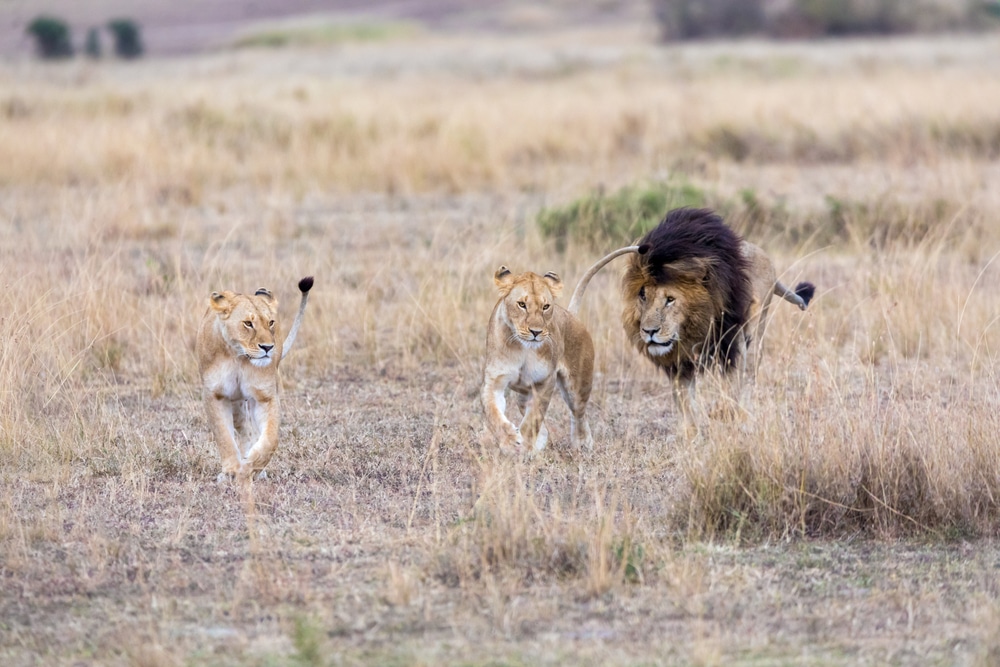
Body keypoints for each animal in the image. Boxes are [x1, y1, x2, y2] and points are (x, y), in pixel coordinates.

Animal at [197, 276, 314, 480]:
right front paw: (230, 471)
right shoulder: (214, 395)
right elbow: (224, 436)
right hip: (236, 402)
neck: (238, 356)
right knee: (243, 427)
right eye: (248, 324)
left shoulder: (265, 396)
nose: (268, 347)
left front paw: (254, 464)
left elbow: (270, 438)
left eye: (271, 322)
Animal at [480, 247, 636, 454]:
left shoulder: (545, 381)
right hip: (523, 394)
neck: (523, 348)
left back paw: (582, 444)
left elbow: (533, 419)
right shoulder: (494, 382)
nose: (536, 332)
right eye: (522, 304)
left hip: (577, 386)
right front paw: (511, 441)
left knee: (579, 415)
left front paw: (523, 444)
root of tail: (571, 314)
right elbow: (493, 414)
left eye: (546, 307)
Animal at [624, 207, 812, 422]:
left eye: (670, 299)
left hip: (757, 327)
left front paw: (731, 414)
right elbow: (684, 399)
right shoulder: (680, 363)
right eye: (643, 295)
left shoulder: (732, 342)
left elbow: (733, 383)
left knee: (750, 370)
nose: (649, 331)